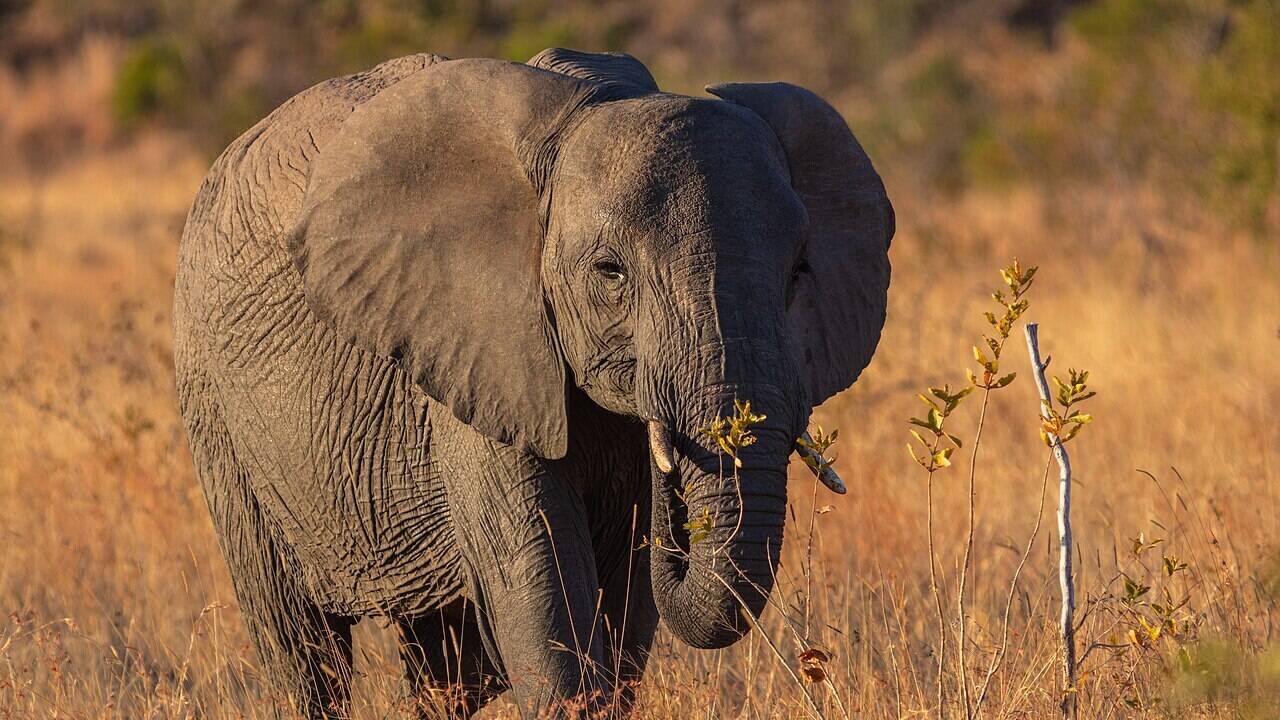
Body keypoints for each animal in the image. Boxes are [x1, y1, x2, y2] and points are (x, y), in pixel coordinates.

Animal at [173, 48, 893, 718]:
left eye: (799, 271)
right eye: (609, 271)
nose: (677, 499)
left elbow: (623, 596)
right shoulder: (478, 341)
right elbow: (541, 576)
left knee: (445, 671)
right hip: (216, 410)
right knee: (304, 654)